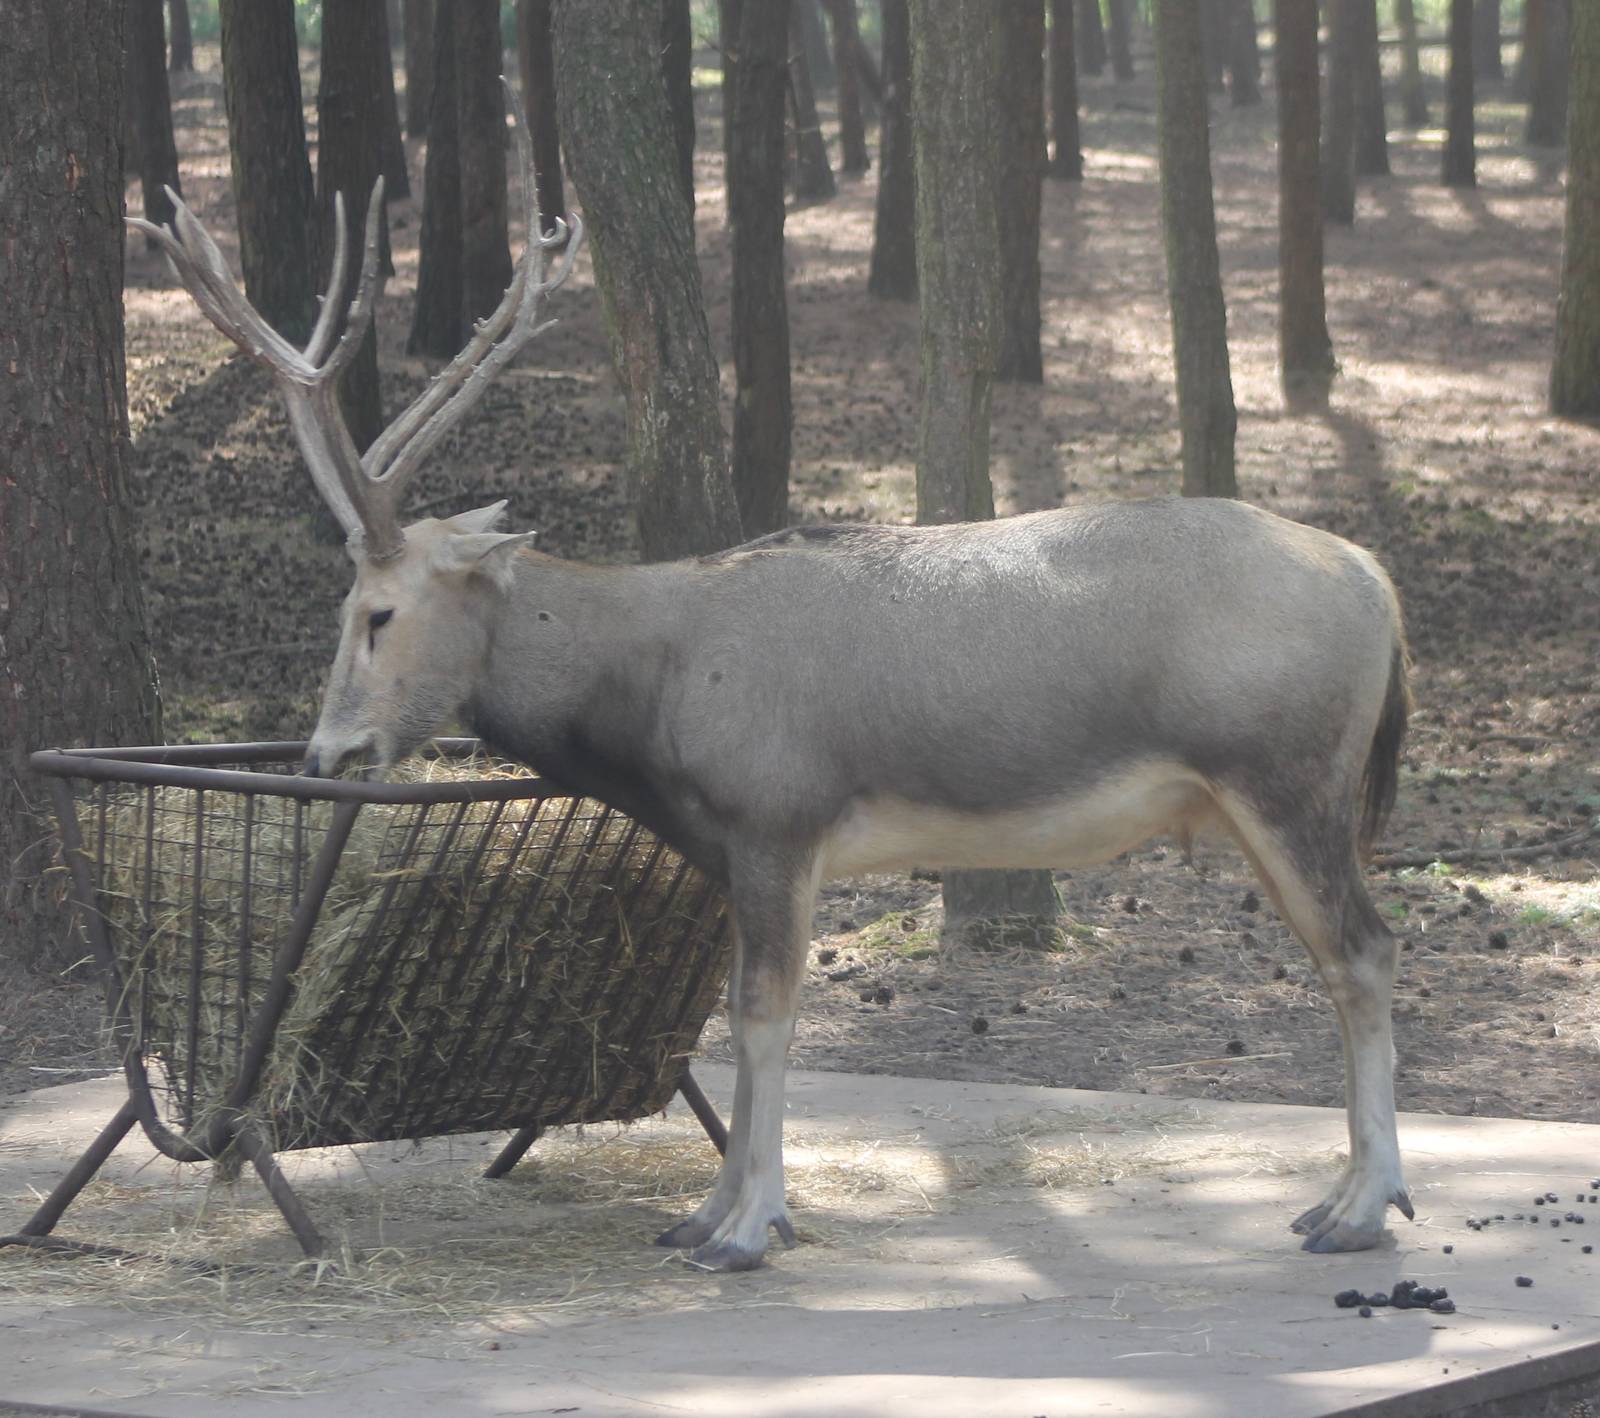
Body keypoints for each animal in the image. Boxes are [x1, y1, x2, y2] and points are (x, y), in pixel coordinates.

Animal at [132, 85, 1414, 1273]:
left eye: (376, 612)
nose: (328, 751)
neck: (656, 696)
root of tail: (1378, 585)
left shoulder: (775, 813)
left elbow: (762, 1017)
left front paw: (748, 1226)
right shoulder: (731, 842)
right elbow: (727, 1023)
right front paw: (702, 1211)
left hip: (1285, 771)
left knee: (1363, 951)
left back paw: (1360, 1208)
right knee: (1347, 951)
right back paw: (1349, 1194)